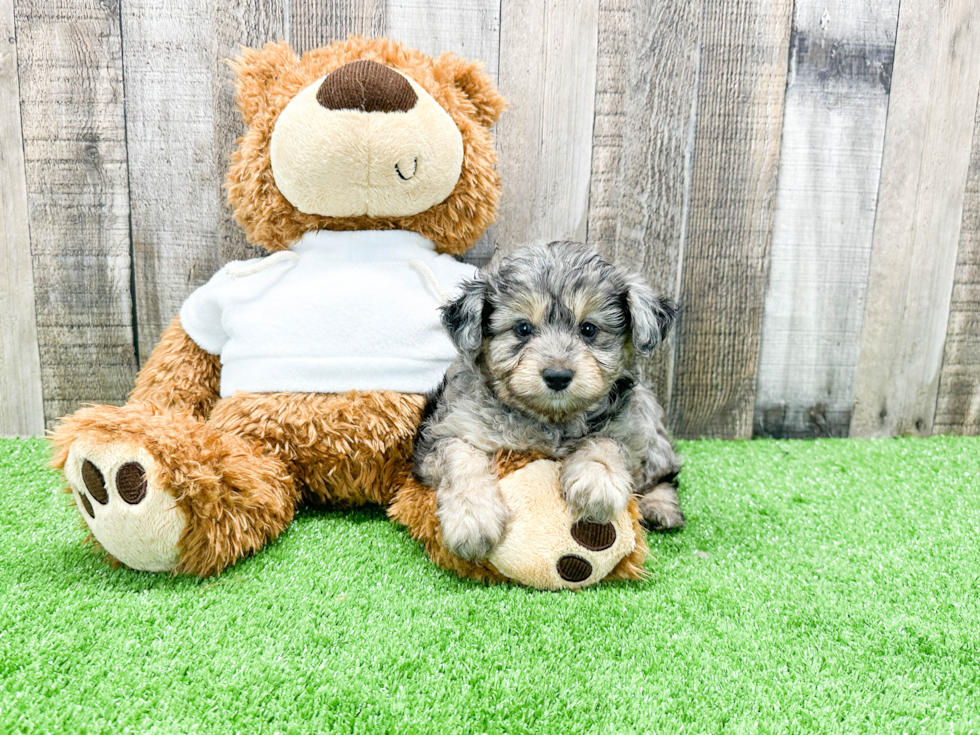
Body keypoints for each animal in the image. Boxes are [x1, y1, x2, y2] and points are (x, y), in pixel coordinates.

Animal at [412, 244, 680, 560]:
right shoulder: (447, 430)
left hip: (651, 422)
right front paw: (472, 516)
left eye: (588, 329)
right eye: (523, 329)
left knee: (664, 472)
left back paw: (660, 507)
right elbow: (460, 456)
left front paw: (597, 480)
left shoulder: (628, 426)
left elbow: (607, 441)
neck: (549, 419)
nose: (557, 376)